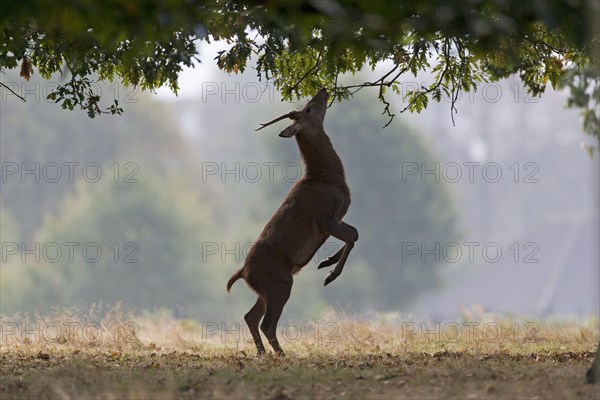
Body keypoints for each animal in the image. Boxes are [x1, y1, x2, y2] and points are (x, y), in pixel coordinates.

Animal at [225, 88, 356, 356]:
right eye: (308, 109)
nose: (323, 90)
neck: (326, 179)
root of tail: (244, 272)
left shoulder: (338, 217)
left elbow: (355, 233)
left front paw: (327, 261)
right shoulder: (324, 219)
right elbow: (351, 237)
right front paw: (330, 274)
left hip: (266, 290)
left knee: (250, 317)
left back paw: (262, 353)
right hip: (282, 283)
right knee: (266, 323)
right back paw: (281, 354)